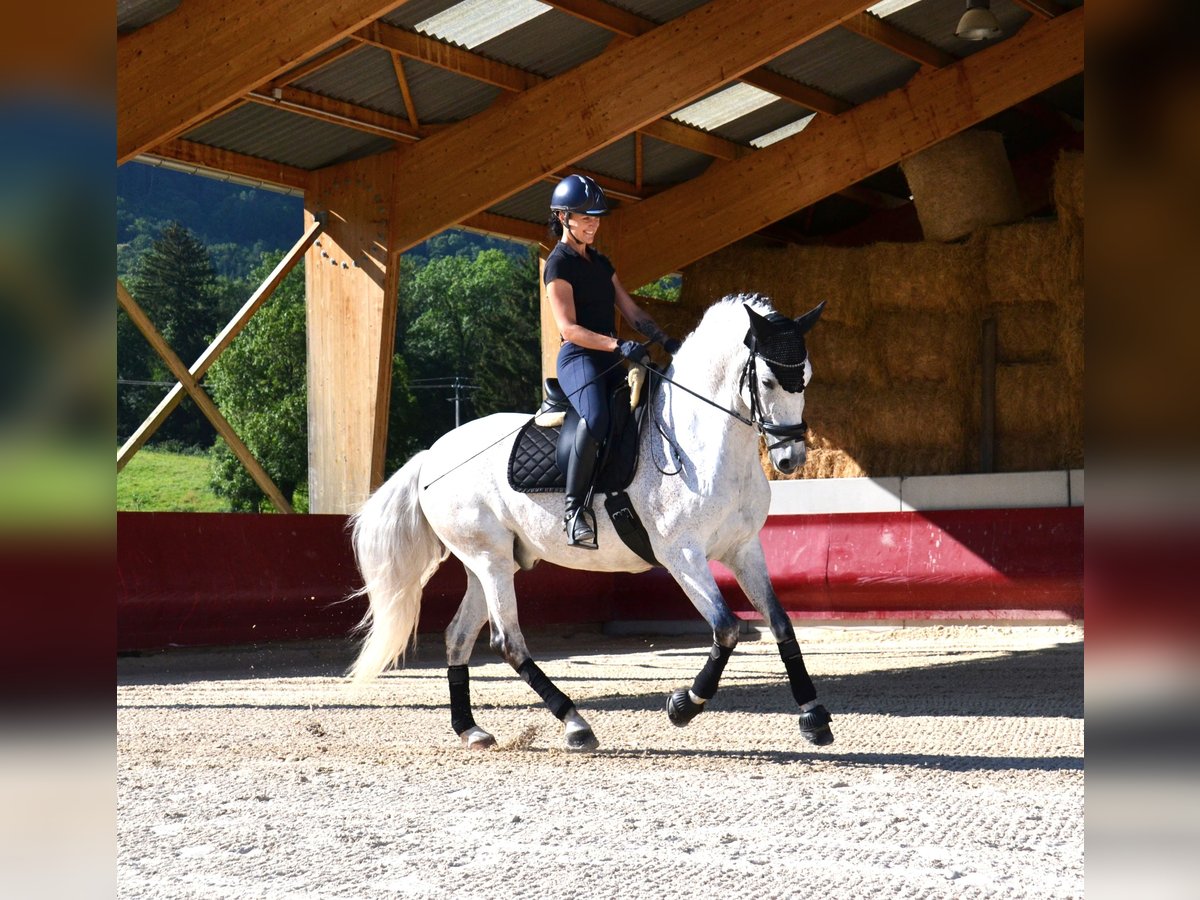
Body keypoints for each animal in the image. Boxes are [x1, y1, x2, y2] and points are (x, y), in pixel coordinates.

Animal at [348, 292, 835, 748]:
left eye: (807, 377)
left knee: (458, 636)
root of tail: (433, 454)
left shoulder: (743, 549)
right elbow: (727, 628)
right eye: (767, 380)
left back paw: (470, 729)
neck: (698, 442)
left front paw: (814, 716)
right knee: (507, 642)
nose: (791, 459)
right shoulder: (682, 556)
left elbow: (780, 622)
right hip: (490, 561)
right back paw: (575, 723)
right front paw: (683, 705)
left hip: (486, 563)